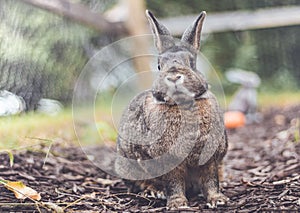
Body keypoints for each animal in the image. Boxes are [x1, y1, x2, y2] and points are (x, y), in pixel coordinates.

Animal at [114, 10, 227, 210]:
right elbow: (173, 182)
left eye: (192, 63)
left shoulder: (210, 159)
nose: (174, 76)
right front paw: (178, 204)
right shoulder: (168, 161)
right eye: (159, 65)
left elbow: (211, 180)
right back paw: (154, 191)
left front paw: (218, 200)